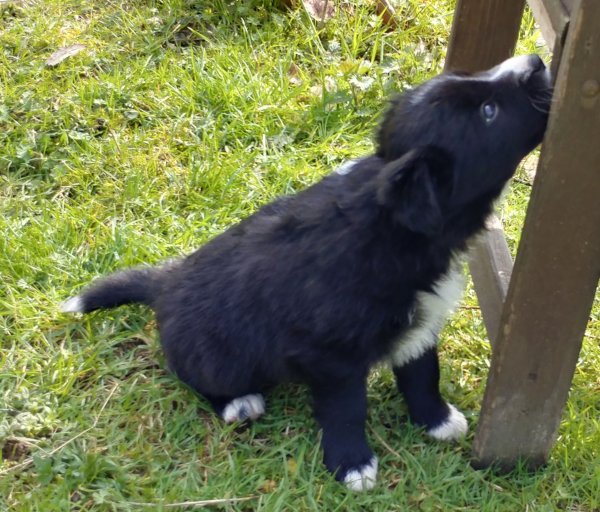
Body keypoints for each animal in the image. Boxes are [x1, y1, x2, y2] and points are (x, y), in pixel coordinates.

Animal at [62, 54, 552, 491]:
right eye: (488, 112)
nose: (538, 60)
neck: (393, 227)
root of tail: (166, 282)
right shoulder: (330, 357)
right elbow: (347, 409)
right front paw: (352, 464)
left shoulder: (419, 326)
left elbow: (421, 373)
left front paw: (436, 419)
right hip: (217, 357)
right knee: (198, 378)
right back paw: (238, 403)